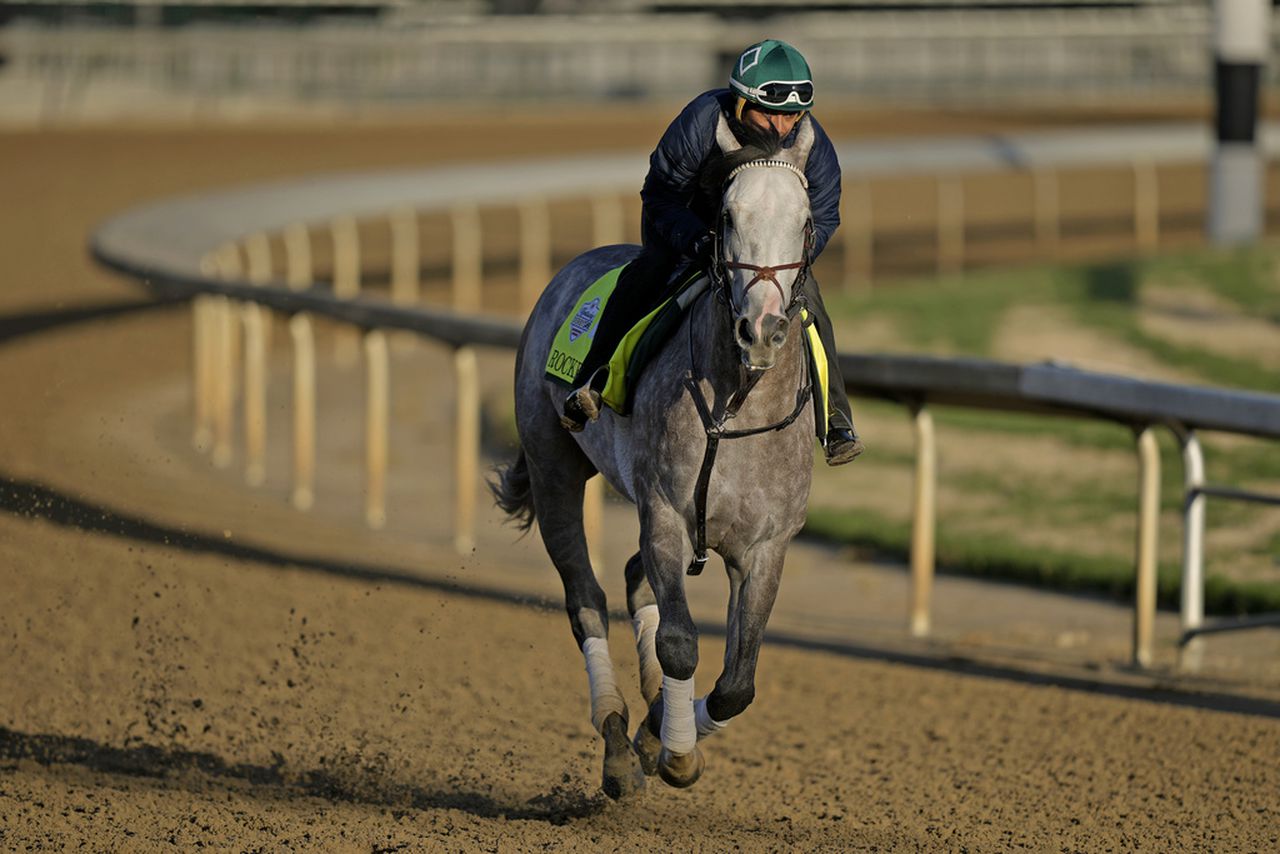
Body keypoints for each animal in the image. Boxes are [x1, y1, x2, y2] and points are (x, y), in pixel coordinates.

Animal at [494, 113, 814, 804]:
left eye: (805, 220)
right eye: (726, 216)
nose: (762, 329)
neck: (735, 407)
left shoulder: (765, 545)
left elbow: (737, 683)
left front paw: (665, 731)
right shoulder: (666, 512)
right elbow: (680, 644)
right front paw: (672, 753)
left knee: (632, 576)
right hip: (555, 469)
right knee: (585, 597)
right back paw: (617, 742)